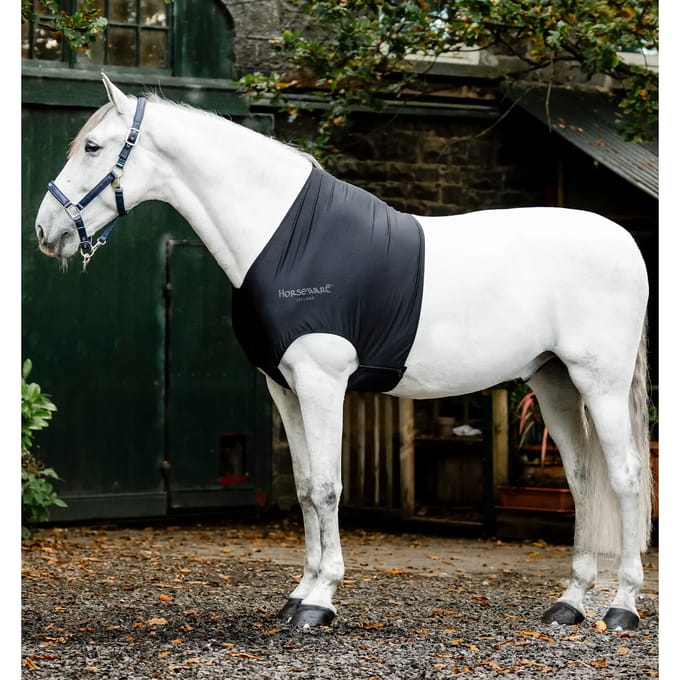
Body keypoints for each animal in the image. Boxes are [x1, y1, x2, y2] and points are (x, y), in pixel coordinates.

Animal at [34, 74, 652, 632]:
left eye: (93, 147)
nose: (46, 230)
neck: (282, 237)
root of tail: (625, 240)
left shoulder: (322, 382)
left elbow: (330, 487)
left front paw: (320, 601)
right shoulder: (284, 387)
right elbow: (308, 488)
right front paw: (298, 594)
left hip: (599, 383)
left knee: (624, 477)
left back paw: (622, 607)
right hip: (553, 382)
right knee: (582, 479)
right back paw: (570, 604)